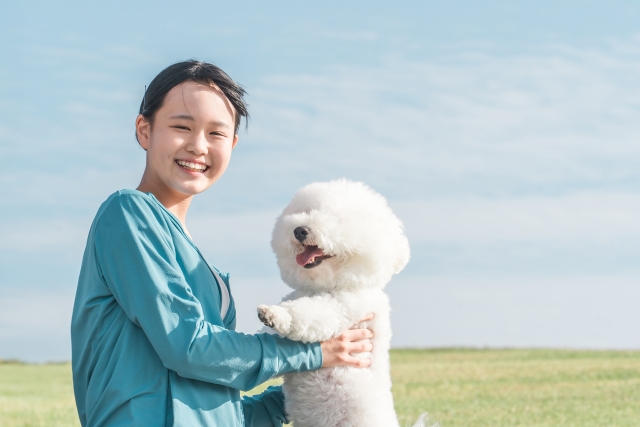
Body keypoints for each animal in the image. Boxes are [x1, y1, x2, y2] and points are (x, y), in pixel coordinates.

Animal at [258, 180, 438, 427]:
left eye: (336, 219)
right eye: (306, 211)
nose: (300, 230)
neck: (327, 285)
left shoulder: (345, 309)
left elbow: (307, 313)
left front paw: (275, 315)